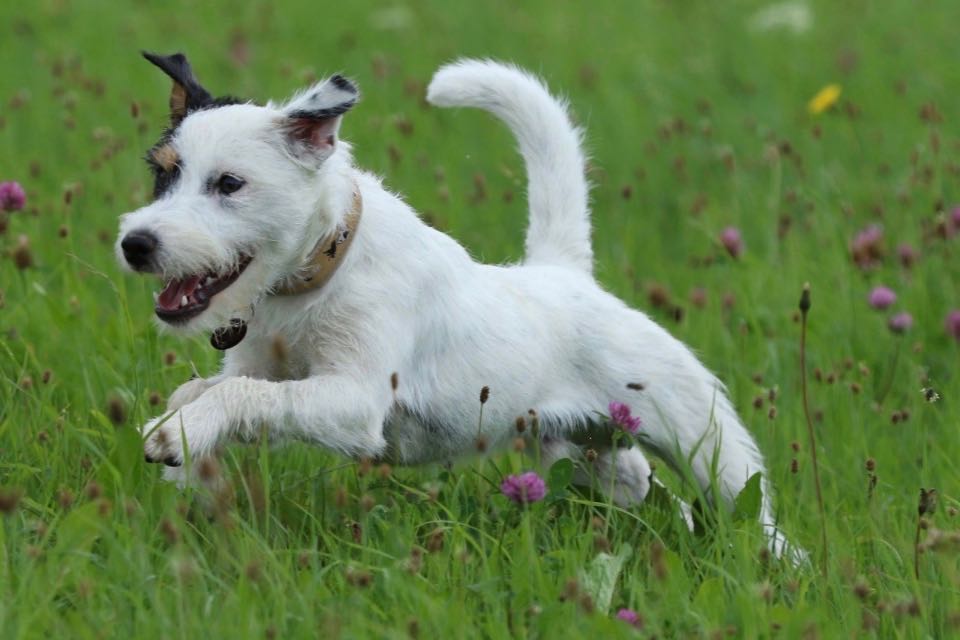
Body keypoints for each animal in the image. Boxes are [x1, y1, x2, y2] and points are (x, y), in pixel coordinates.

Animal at [116, 52, 800, 556]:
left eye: (229, 183)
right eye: (163, 173)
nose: (135, 243)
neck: (321, 271)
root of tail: (564, 276)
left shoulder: (354, 401)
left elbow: (243, 395)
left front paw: (180, 433)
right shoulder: (263, 364)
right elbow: (210, 388)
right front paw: (182, 436)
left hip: (704, 439)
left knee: (750, 510)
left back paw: (782, 568)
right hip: (590, 454)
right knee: (650, 489)